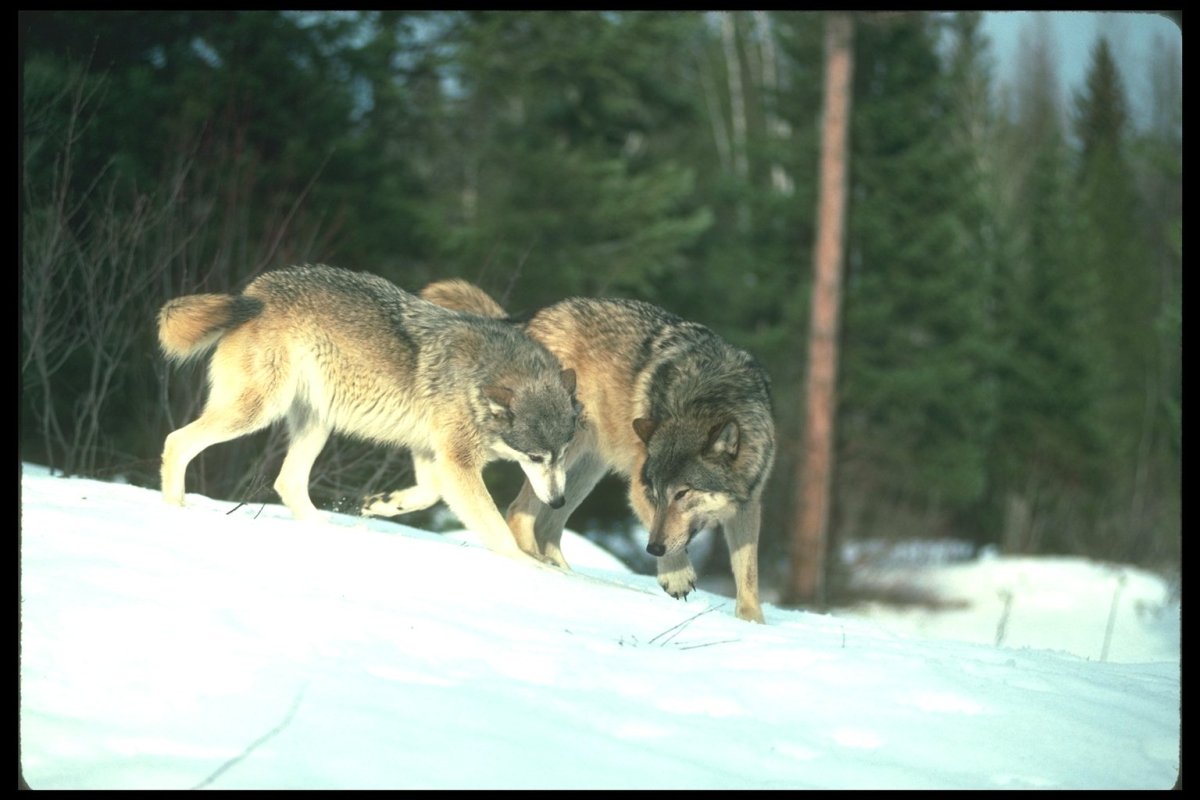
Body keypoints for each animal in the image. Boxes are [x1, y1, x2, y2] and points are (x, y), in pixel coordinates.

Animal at [157, 266, 578, 561]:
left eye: (562, 456)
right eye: (535, 458)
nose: (559, 502)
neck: (484, 375)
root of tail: (253, 292)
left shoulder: (432, 452)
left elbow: (428, 494)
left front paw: (386, 503)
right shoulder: (457, 461)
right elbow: (497, 529)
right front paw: (534, 568)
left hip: (316, 423)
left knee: (286, 482)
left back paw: (327, 530)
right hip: (257, 412)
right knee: (176, 441)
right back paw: (175, 508)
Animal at [417, 278, 772, 623]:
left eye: (683, 493)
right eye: (657, 494)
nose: (653, 550)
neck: (710, 397)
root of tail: (531, 318)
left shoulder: (749, 504)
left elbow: (749, 575)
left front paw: (753, 623)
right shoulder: (638, 488)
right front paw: (676, 575)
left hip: (585, 472)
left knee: (547, 527)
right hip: (563, 455)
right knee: (519, 511)